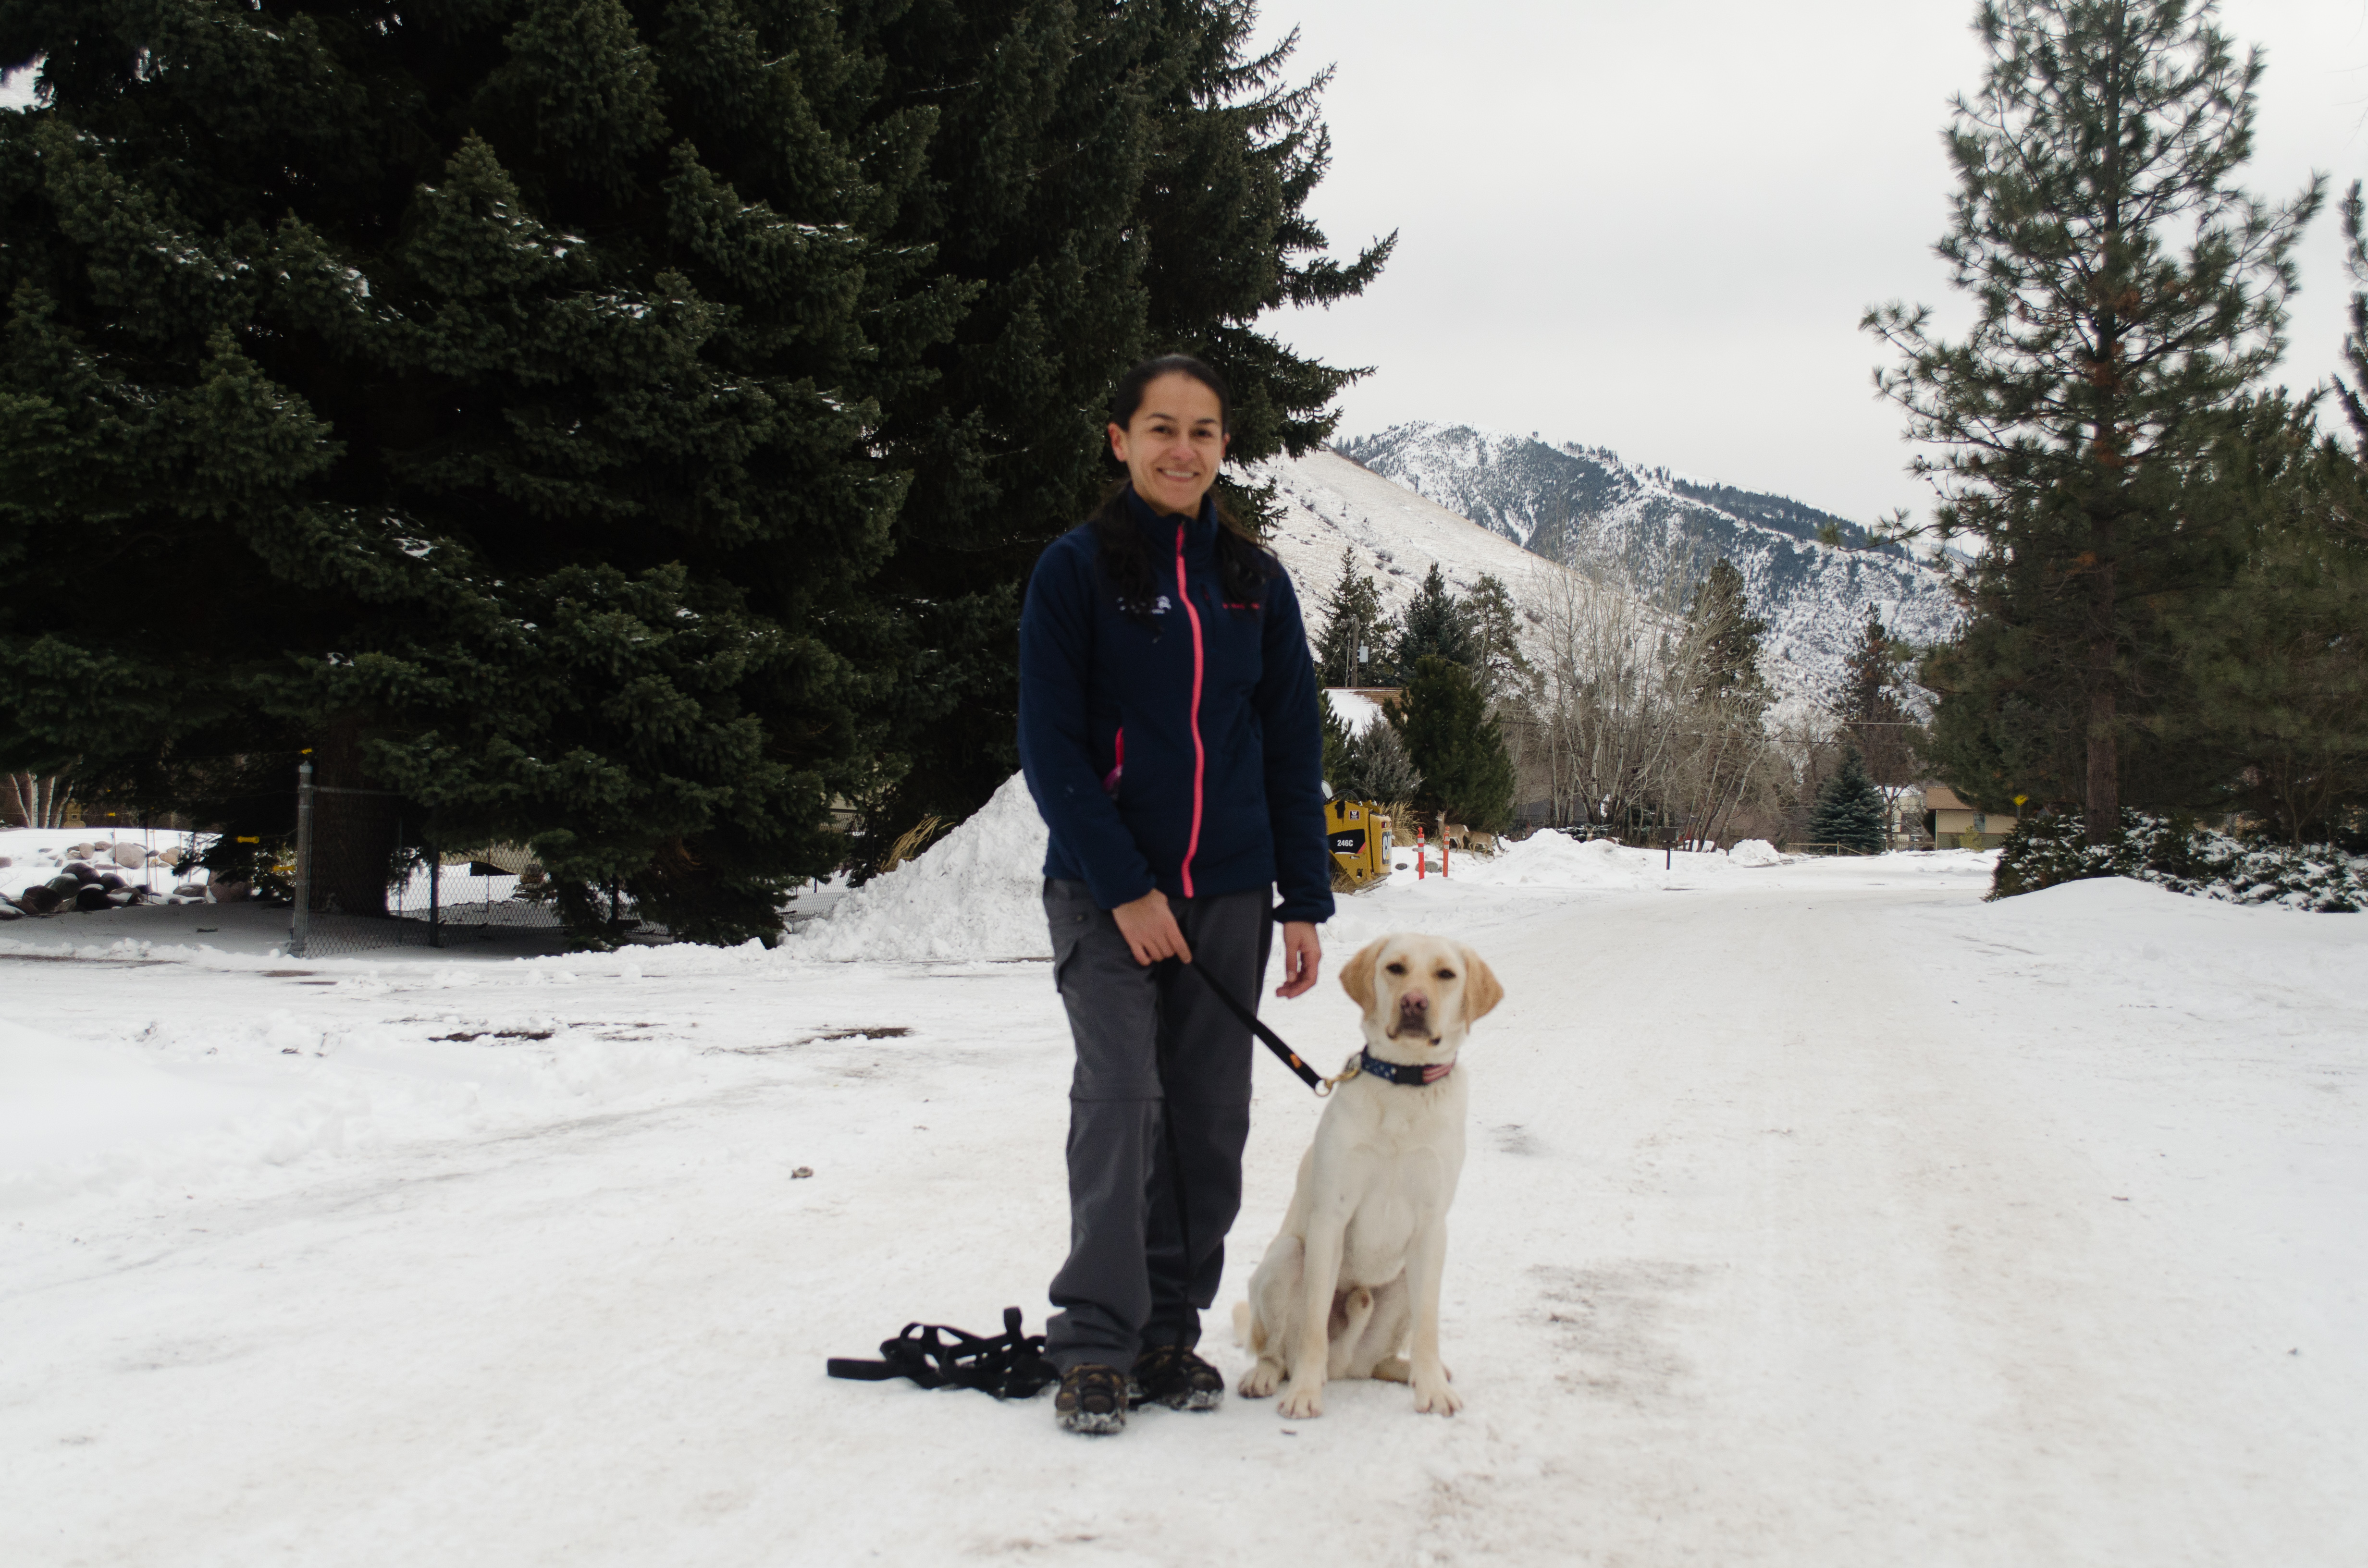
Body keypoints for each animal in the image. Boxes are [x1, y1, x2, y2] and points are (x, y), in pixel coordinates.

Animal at [1241, 938, 1496, 1421]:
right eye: (1396, 968)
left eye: (1446, 975)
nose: (1414, 1003)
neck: (1404, 1084)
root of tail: (1345, 1364)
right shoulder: (1331, 1218)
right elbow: (1313, 1330)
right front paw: (1304, 1394)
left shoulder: (1432, 1227)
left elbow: (1429, 1328)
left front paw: (1434, 1390)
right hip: (1287, 1256)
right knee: (1278, 1349)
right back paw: (1266, 1375)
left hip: (1401, 1284)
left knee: (1379, 1360)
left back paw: (1414, 1372)